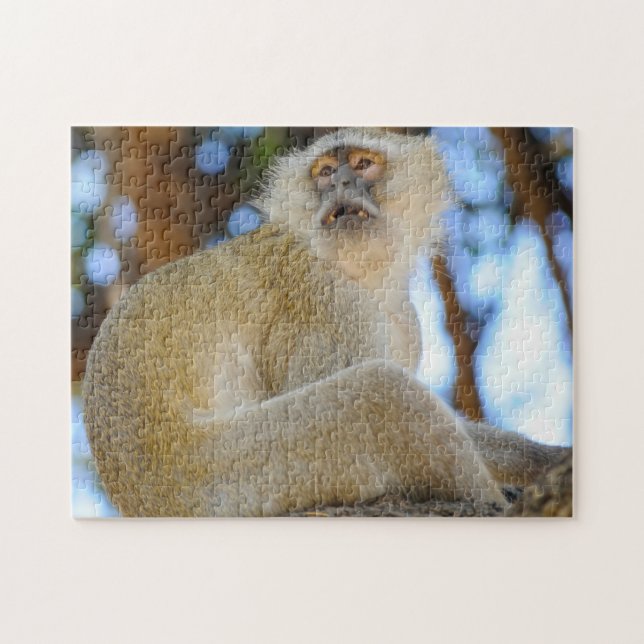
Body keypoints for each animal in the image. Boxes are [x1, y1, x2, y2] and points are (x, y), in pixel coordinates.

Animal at [83, 128, 569, 517]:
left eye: (363, 164)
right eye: (325, 171)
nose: (341, 182)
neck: (363, 275)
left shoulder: (404, 320)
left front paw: (546, 461)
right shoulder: (328, 303)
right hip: (229, 474)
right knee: (381, 395)